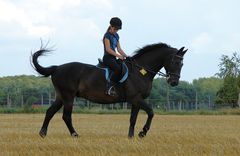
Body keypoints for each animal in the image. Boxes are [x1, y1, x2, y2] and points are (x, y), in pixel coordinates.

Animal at [31, 42, 188, 138]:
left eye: (182, 64)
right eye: (175, 61)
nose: (174, 82)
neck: (140, 71)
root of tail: (57, 68)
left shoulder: (136, 101)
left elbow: (133, 119)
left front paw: (131, 136)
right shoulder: (136, 98)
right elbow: (151, 112)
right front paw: (142, 133)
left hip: (61, 96)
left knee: (50, 112)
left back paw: (42, 133)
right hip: (68, 96)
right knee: (66, 116)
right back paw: (75, 134)